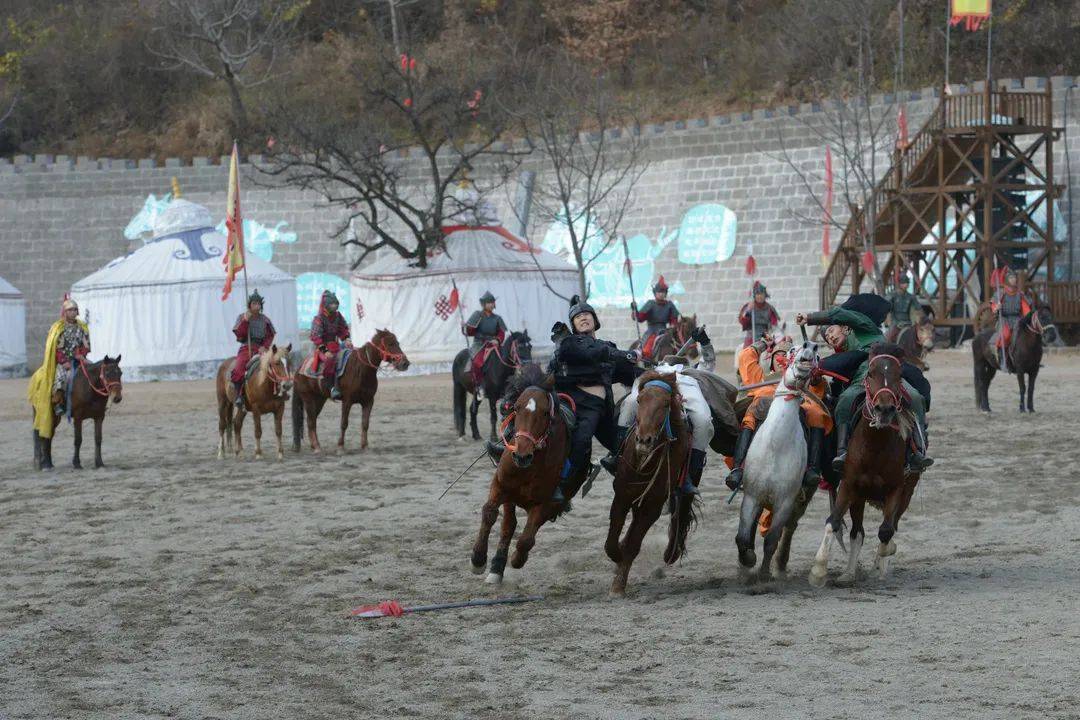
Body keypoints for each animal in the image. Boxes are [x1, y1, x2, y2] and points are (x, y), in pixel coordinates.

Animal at [464, 367, 583, 587]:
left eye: (545, 412)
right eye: (516, 408)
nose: (521, 455)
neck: (530, 466)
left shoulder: (546, 503)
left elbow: (526, 539)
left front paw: (517, 559)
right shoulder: (500, 485)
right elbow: (489, 513)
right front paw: (477, 559)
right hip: (511, 497)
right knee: (508, 525)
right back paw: (496, 567)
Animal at [604, 371, 695, 595]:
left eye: (665, 404)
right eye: (639, 400)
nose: (644, 440)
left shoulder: (652, 506)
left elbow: (634, 544)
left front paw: (618, 585)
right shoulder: (622, 495)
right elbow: (612, 539)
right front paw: (617, 556)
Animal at [738, 341, 820, 582]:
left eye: (818, 356)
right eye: (792, 351)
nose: (810, 346)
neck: (775, 447)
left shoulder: (785, 503)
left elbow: (771, 541)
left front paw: (764, 574)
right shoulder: (752, 496)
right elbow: (742, 537)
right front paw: (748, 560)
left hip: (801, 499)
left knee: (790, 528)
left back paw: (781, 565)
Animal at [812, 343, 920, 587]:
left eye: (899, 375)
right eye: (870, 373)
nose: (885, 409)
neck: (875, 447)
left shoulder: (897, 489)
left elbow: (886, 531)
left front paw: (881, 563)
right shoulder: (849, 485)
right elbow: (833, 521)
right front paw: (818, 570)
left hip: (907, 494)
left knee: (890, 527)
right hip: (859, 497)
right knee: (857, 532)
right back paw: (849, 573)